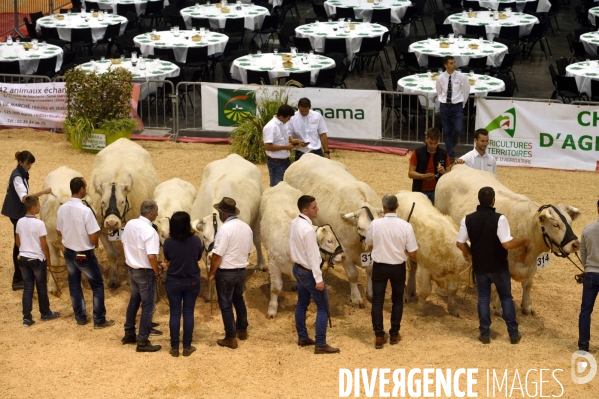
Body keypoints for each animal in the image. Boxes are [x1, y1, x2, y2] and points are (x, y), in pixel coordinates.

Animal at [88, 139, 159, 290]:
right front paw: (113, 279)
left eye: (122, 201)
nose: (111, 223)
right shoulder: (100, 230)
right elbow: (111, 254)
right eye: (102, 202)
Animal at [258, 184, 344, 318]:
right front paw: (272, 310)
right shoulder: (274, 263)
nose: (343, 256)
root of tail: (281, 184)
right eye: (329, 241)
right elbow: (276, 288)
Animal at [284, 153, 380, 306]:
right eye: (360, 227)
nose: (372, 243)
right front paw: (356, 298)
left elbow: (371, 271)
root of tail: (307, 155)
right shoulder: (343, 250)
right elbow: (353, 275)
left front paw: (370, 293)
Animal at [436, 165, 580, 316]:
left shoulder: (532, 263)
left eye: (570, 222)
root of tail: (459, 166)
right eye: (555, 224)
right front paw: (500, 309)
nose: (576, 244)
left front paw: (527, 307)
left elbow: (528, 285)